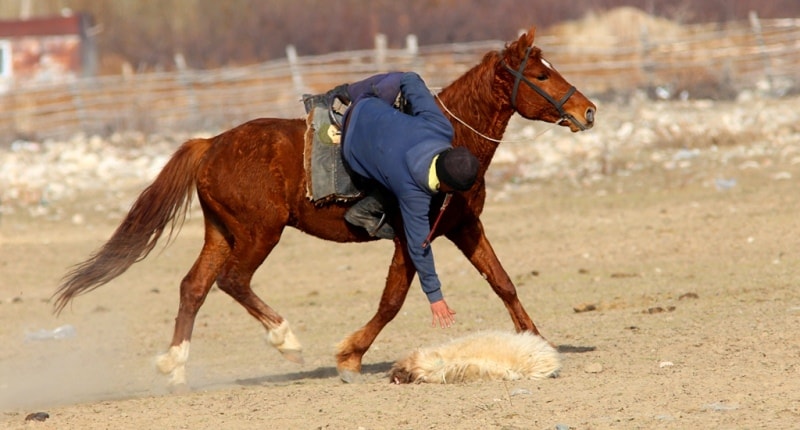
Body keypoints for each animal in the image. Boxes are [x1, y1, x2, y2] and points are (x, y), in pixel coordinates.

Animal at [53, 28, 596, 388]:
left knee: (194, 287)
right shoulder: (411, 235)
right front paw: (350, 355)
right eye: (542, 73)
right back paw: (285, 340)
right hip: (260, 233)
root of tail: (209, 145)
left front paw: (536, 342)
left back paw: (175, 365)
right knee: (232, 280)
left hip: (221, 231)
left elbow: (503, 282)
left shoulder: (464, 226)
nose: (587, 110)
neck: (449, 142)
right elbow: (393, 300)